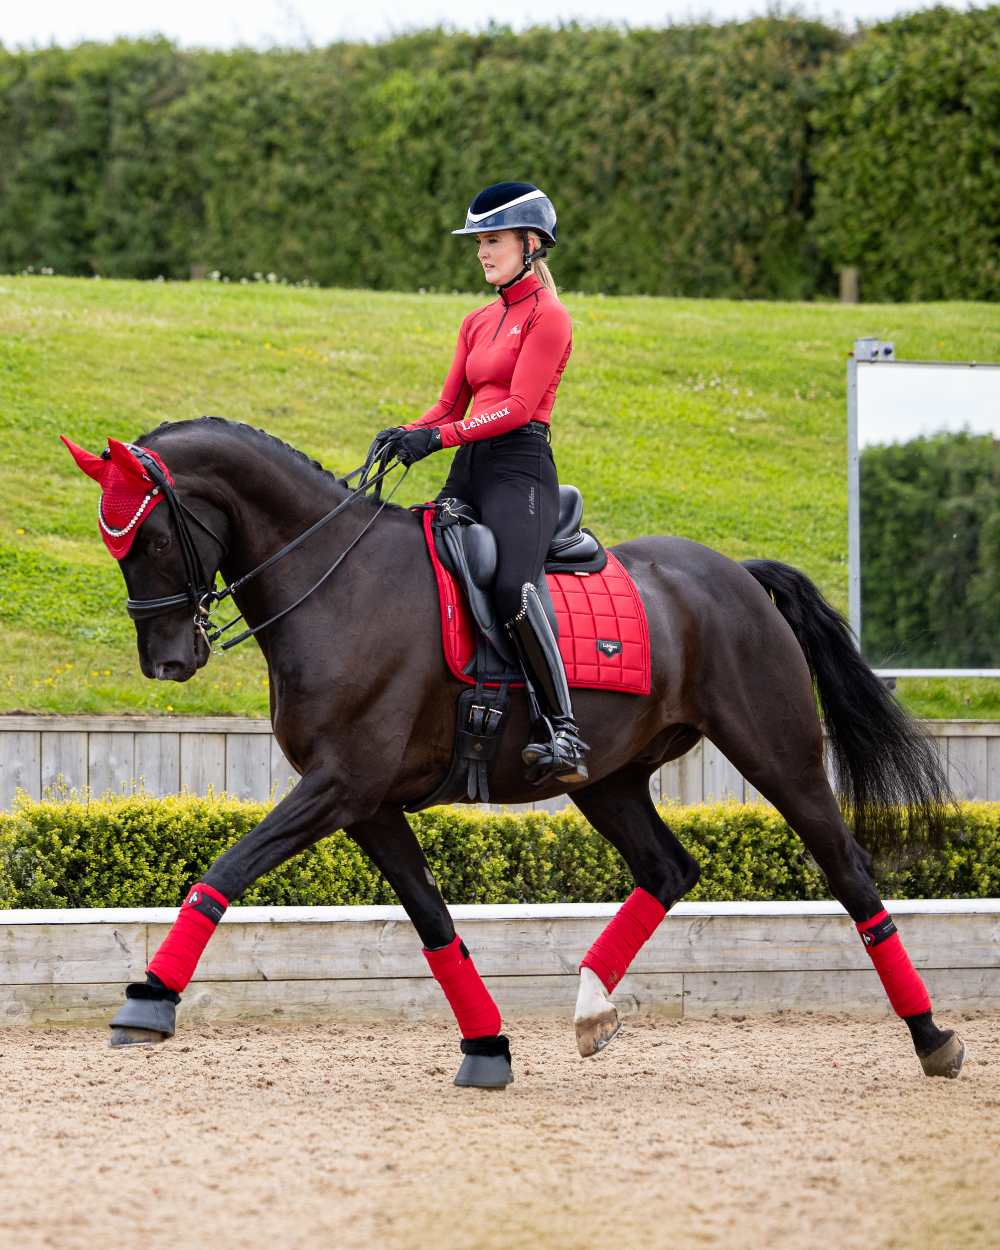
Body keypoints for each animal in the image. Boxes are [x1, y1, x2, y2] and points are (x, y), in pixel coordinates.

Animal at [60, 420, 960, 1085]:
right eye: (115, 544)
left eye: (151, 539)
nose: (168, 662)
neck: (336, 582)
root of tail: (734, 574)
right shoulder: (368, 803)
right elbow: (433, 921)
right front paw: (487, 1048)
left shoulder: (340, 785)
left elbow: (227, 868)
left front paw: (149, 1000)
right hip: (608, 779)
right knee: (668, 869)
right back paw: (592, 1008)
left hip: (778, 756)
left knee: (849, 873)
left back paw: (933, 1038)